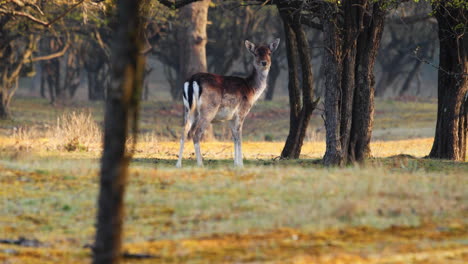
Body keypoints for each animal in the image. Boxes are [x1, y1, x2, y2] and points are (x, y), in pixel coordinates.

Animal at [175, 38, 278, 168]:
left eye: (269, 53)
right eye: (256, 53)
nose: (264, 63)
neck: (251, 90)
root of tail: (192, 80)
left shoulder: (230, 117)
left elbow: (234, 137)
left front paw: (235, 163)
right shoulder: (241, 112)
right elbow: (239, 137)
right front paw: (241, 164)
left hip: (188, 109)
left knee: (184, 132)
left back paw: (178, 164)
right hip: (208, 110)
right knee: (196, 133)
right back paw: (200, 164)